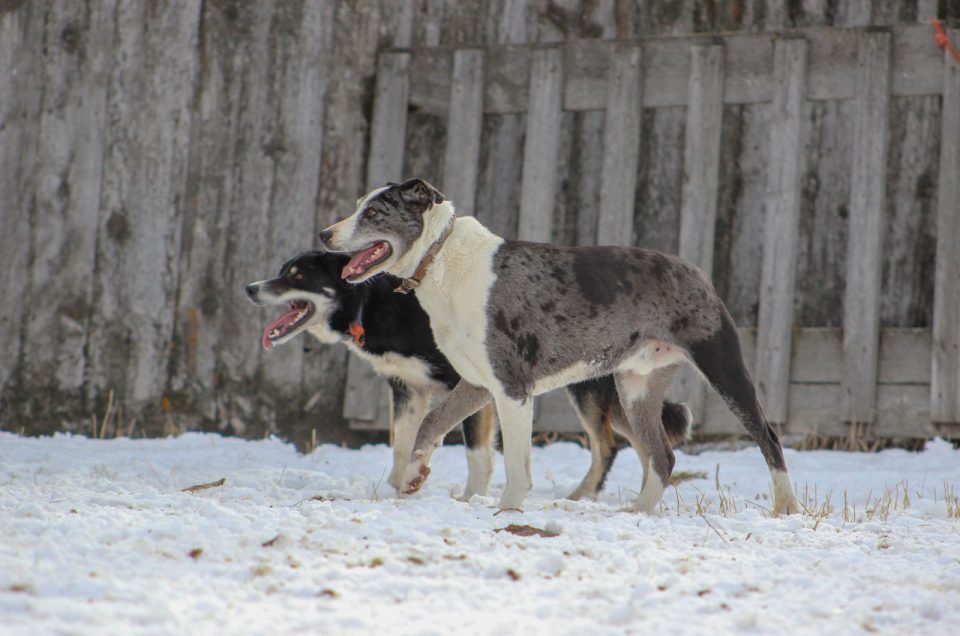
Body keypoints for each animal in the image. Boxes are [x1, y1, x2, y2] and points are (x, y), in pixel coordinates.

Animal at [244, 251, 688, 500]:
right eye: (283, 270)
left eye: (298, 276)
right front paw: (399, 490)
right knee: (645, 444)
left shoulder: (478, 387)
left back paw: (587, 497)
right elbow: (404, 446)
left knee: (610, 445)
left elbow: (476, 452)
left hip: (589, 390)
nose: (250, 288)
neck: (373, 303)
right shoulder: (407, 390)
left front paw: (473, 497)